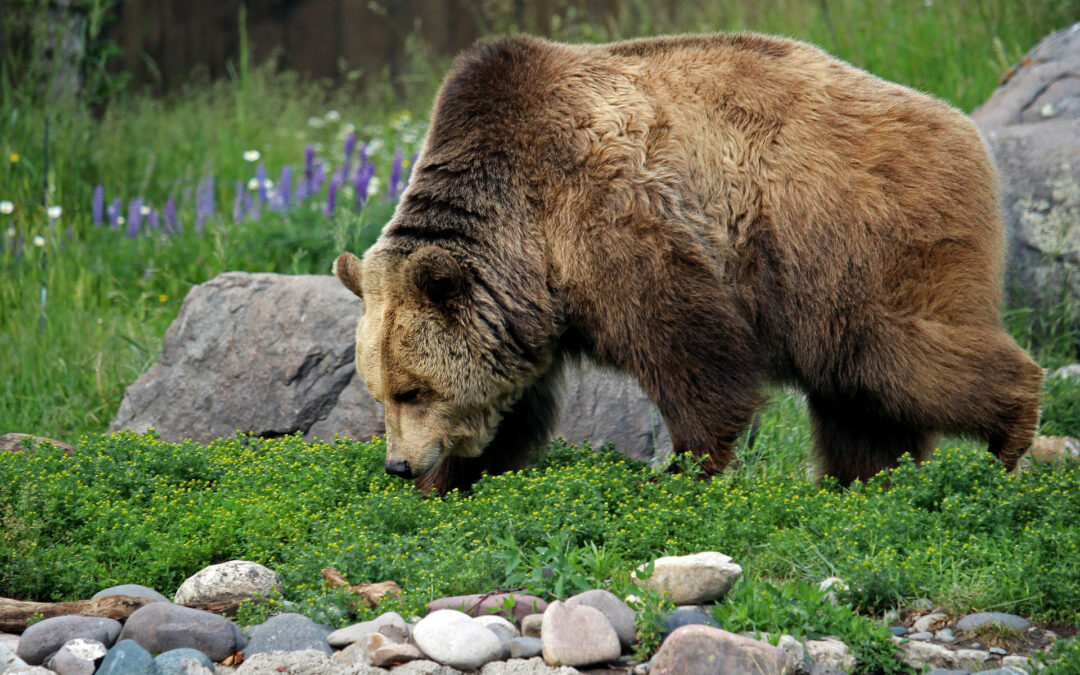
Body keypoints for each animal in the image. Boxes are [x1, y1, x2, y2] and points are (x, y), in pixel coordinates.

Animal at [332, 32, 1044, 494]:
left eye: (412, 389)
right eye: (380, 390)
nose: (398, 464)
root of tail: (963, 127)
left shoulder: (609, 215)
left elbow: (689, 347)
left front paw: (684, 467)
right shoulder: (526, 306)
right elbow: (514, 402)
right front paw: (452, 479)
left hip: (852, 239)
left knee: (891, 353)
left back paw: (1010, 434)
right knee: (856, 397)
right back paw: (861, 482)